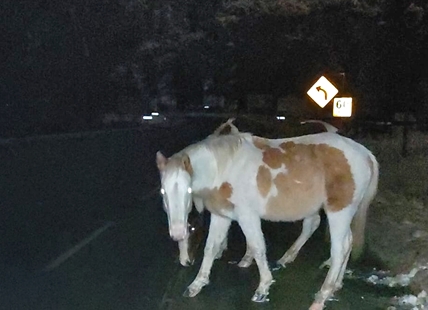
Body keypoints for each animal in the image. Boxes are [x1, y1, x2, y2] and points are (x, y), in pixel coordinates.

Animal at [157, 123, 378, 308]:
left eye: (188, 190)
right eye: (162, 192)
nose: (178, 233)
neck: (224, 168)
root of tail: (365, 153)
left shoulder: (247, 216)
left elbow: (257, 247)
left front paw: (263, 287)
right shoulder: (222, 216)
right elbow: (211, 248)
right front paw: (197, 284)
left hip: (339, 212)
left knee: (339, 250)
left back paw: (322, 295)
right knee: (347, 243)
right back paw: (335, 284)